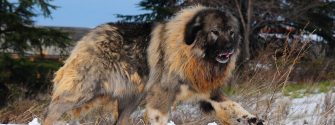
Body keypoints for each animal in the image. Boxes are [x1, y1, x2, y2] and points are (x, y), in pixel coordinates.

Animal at [44, 5, 266, 125]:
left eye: (231, 32)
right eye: (215, 32)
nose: (229, 49)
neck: (190, 52)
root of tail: (89, 36)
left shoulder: (206, 90)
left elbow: (232, 105)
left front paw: (251, 118)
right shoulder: (162, 95)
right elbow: (159, 117)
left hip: (131, 97)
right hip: (82, 91)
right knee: (52, 110)